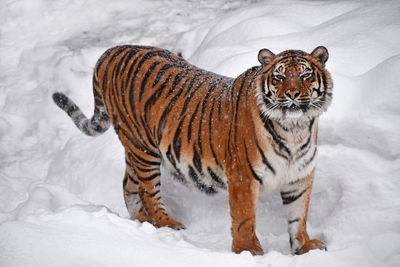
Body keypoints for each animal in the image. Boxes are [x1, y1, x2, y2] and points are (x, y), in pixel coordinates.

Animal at [54, 45, 334, 256]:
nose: (293, 94)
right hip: (144, 149)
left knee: (128, 184)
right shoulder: (243, 176)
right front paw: (248, 251)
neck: (295, 129)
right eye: (279, 77)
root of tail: (111, 52)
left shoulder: (299, 177)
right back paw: (168, 225)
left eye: (305, 76)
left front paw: (304, 246)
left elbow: (298, 216)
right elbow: (244, 218)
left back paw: (142, 222)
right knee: (148, 190)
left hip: (135, 150)